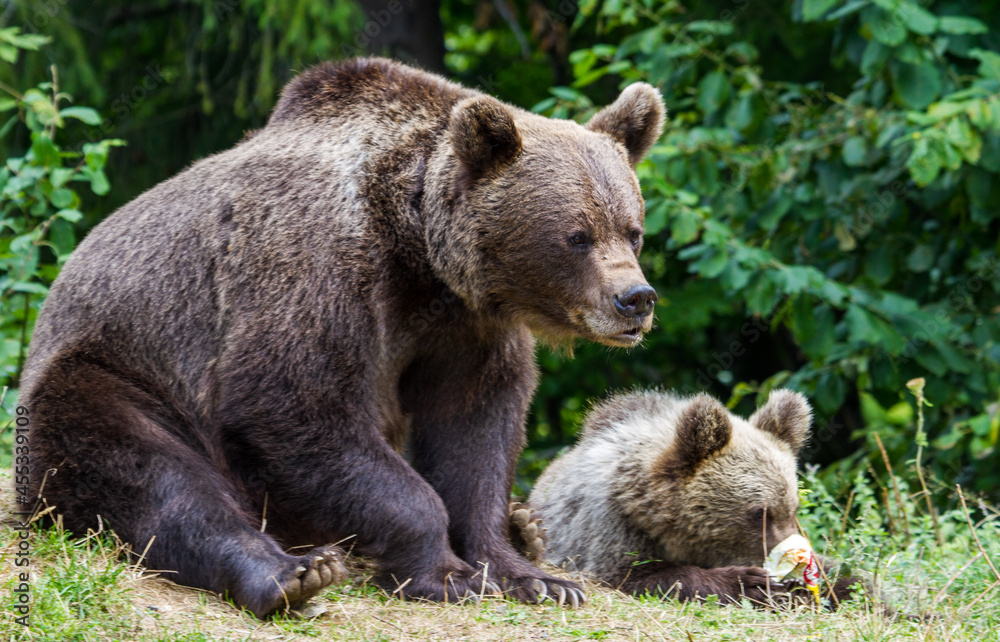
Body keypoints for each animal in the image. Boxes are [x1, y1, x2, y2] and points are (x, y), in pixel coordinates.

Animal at [21, 58, 664, 616]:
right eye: (576, 236)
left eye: (632, 230)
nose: (635, 299)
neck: (417, 250)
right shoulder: (316, 266)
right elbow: (295, 402)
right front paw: (446, 574)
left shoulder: (466, 326)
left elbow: (474, 428)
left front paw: (532, 576)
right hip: (109, 371)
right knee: (151, 472)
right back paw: (291, 573)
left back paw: (524, 528)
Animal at [528, 388, 856, 604]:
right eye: (760, 512)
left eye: (793, 508)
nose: (800, 561)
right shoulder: (612, 527)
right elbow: (639, 574)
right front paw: (749, 583)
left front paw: (849, 586)